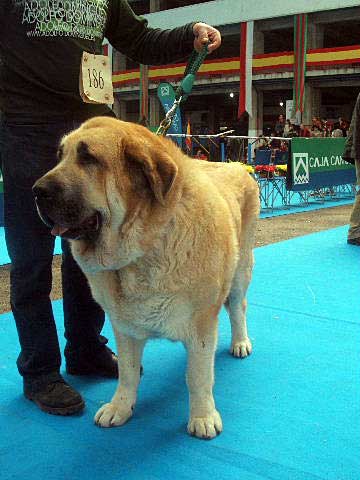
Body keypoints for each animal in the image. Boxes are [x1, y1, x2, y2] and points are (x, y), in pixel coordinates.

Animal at [33, 117, 258, 438]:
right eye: (59, 155)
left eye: (88, 158)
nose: (36, 190)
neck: (143, 249)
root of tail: (237, 166)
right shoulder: (124, 326)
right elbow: (127, 373)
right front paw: (120, 407)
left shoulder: (201, 324)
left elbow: (198, 376)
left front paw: (202, 416)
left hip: (241, 270)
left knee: (238, 307)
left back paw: (240, 343)